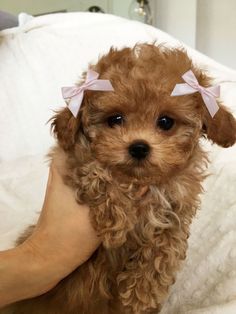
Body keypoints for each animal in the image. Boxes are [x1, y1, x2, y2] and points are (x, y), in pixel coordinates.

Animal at [2, 44, 236, 314]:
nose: (139, 147)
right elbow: (97, 169)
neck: (142, 181)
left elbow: (166, 246)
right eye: (115, 119)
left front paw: (142, 291)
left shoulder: (177, 206)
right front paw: (115, 220)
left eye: (166, 122)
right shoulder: (71, 160)